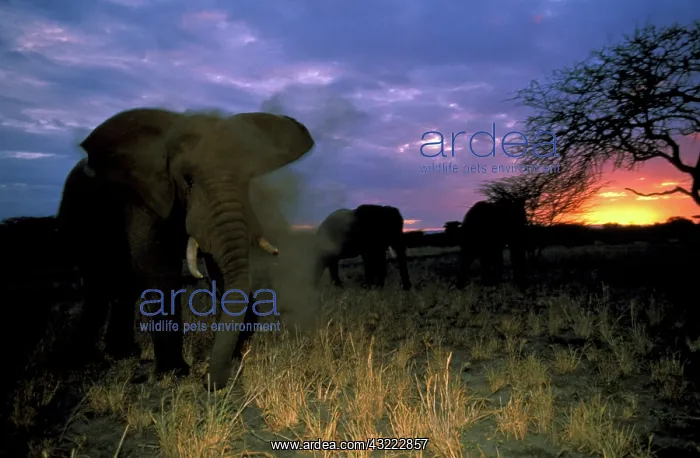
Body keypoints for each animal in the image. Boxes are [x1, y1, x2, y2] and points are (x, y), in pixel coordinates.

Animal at [56, 107, 315, 390]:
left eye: (247, 180)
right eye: (188, 181)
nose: (208, 381)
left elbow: (218, 271)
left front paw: (235, 355)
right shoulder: (143, 198)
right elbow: (157, 266)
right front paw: (174, 374)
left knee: (122, 286)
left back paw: (122, 354)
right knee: (98, 285)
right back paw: (80, 361)